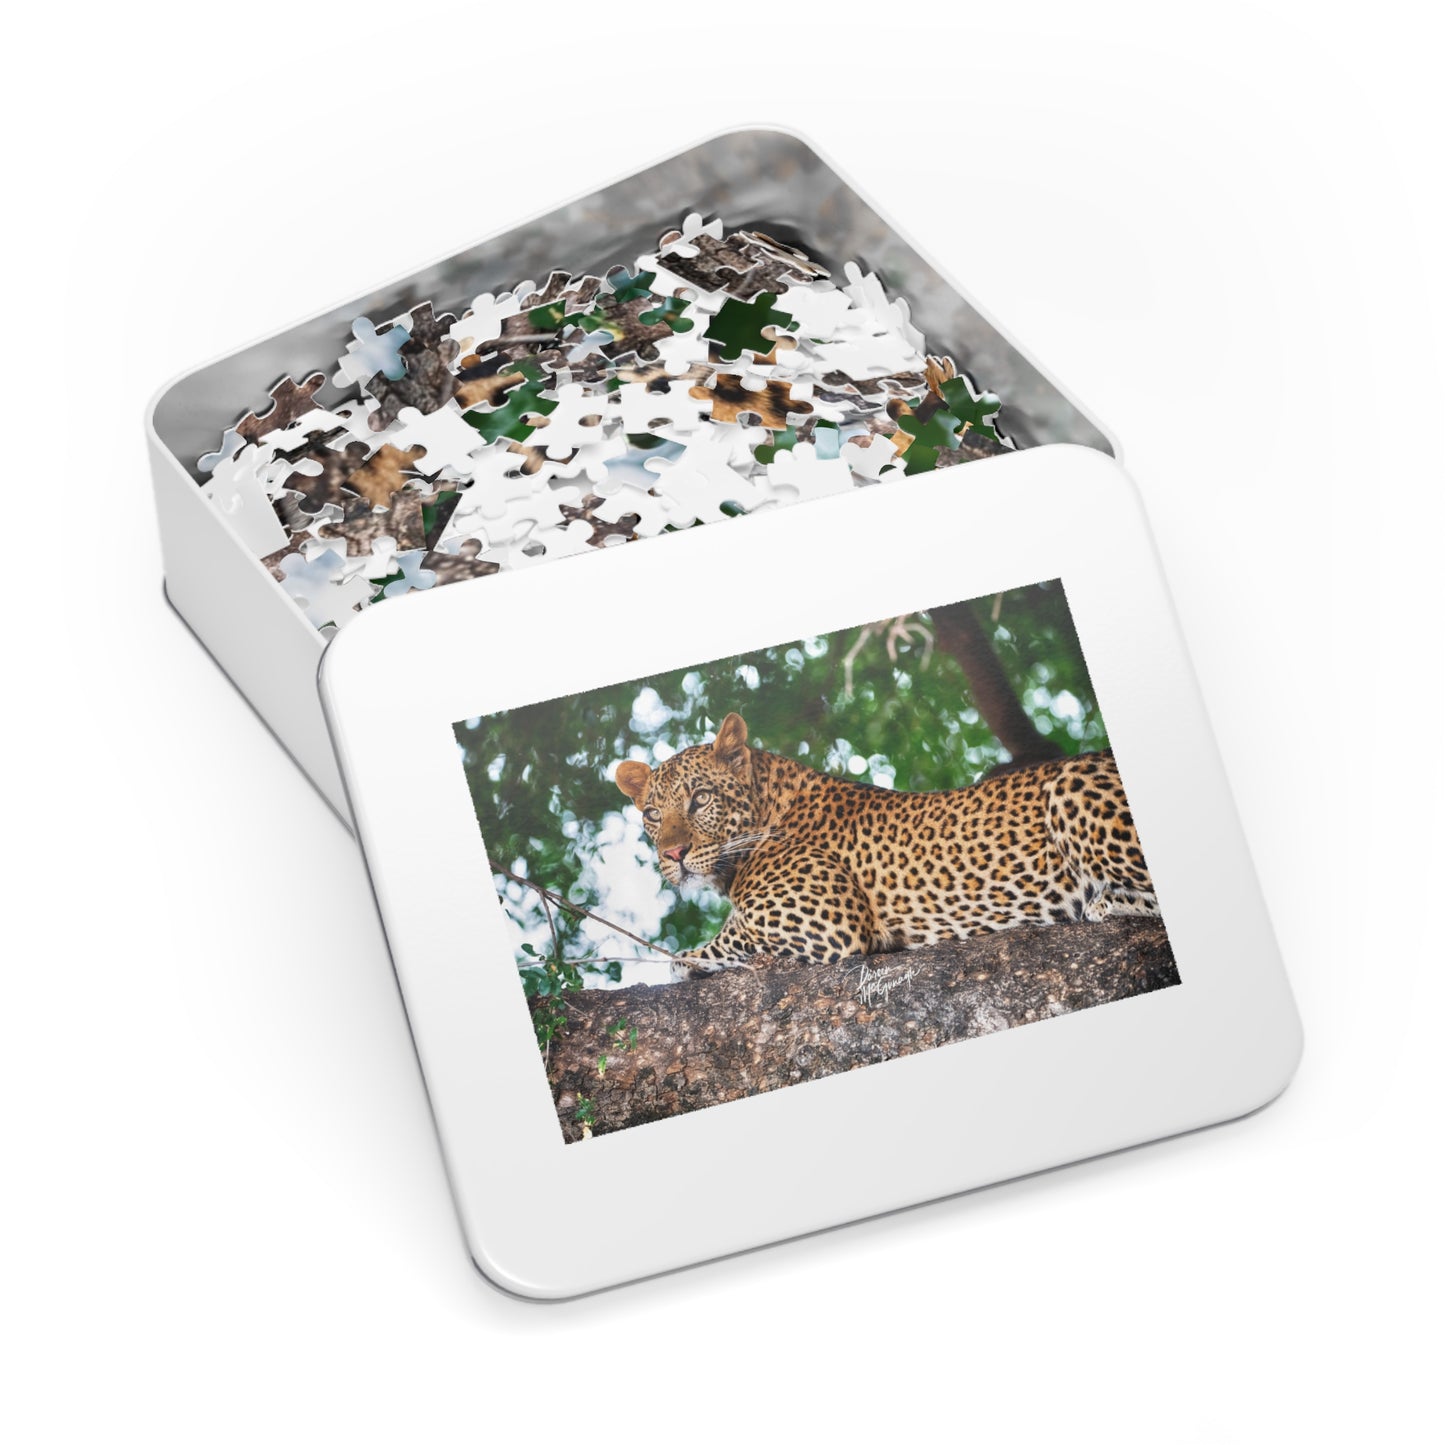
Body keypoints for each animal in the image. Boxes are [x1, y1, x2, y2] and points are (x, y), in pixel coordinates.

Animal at [614, 711, 1159, 981]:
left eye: (701, 798)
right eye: (652, 815)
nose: (673, 856)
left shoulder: (826, 922)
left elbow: (732, 933)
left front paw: (687, 958)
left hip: (1070, 783)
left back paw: (1102, 901)